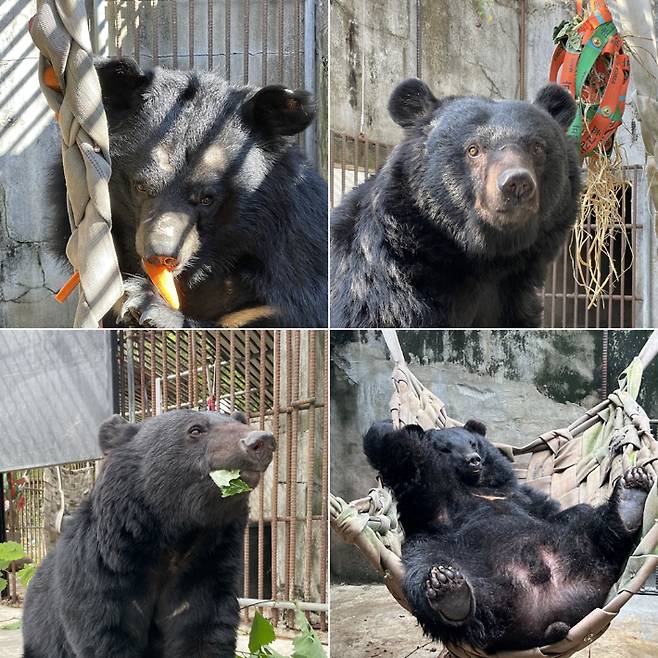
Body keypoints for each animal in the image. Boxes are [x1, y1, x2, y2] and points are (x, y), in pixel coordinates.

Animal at [22, 408, 274, 652]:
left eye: (239, 422)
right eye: (195, 429)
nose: (261, 441)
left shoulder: (206, 574)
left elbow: (202, 631)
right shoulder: (100, 574)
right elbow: (105, 634)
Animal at [362, 418, 652, 648]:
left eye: (474, 444)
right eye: (445, 448)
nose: (474, 460)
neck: (475, 486)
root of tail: (548, 614)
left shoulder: (522, 495)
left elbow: (550, 508)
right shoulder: (429, 508)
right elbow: (411, 467)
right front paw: (388, 429)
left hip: (577, 542)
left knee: (589, 522)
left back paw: (630, 497)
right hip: (437, 551)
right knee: (424, 571)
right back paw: (449, 592)